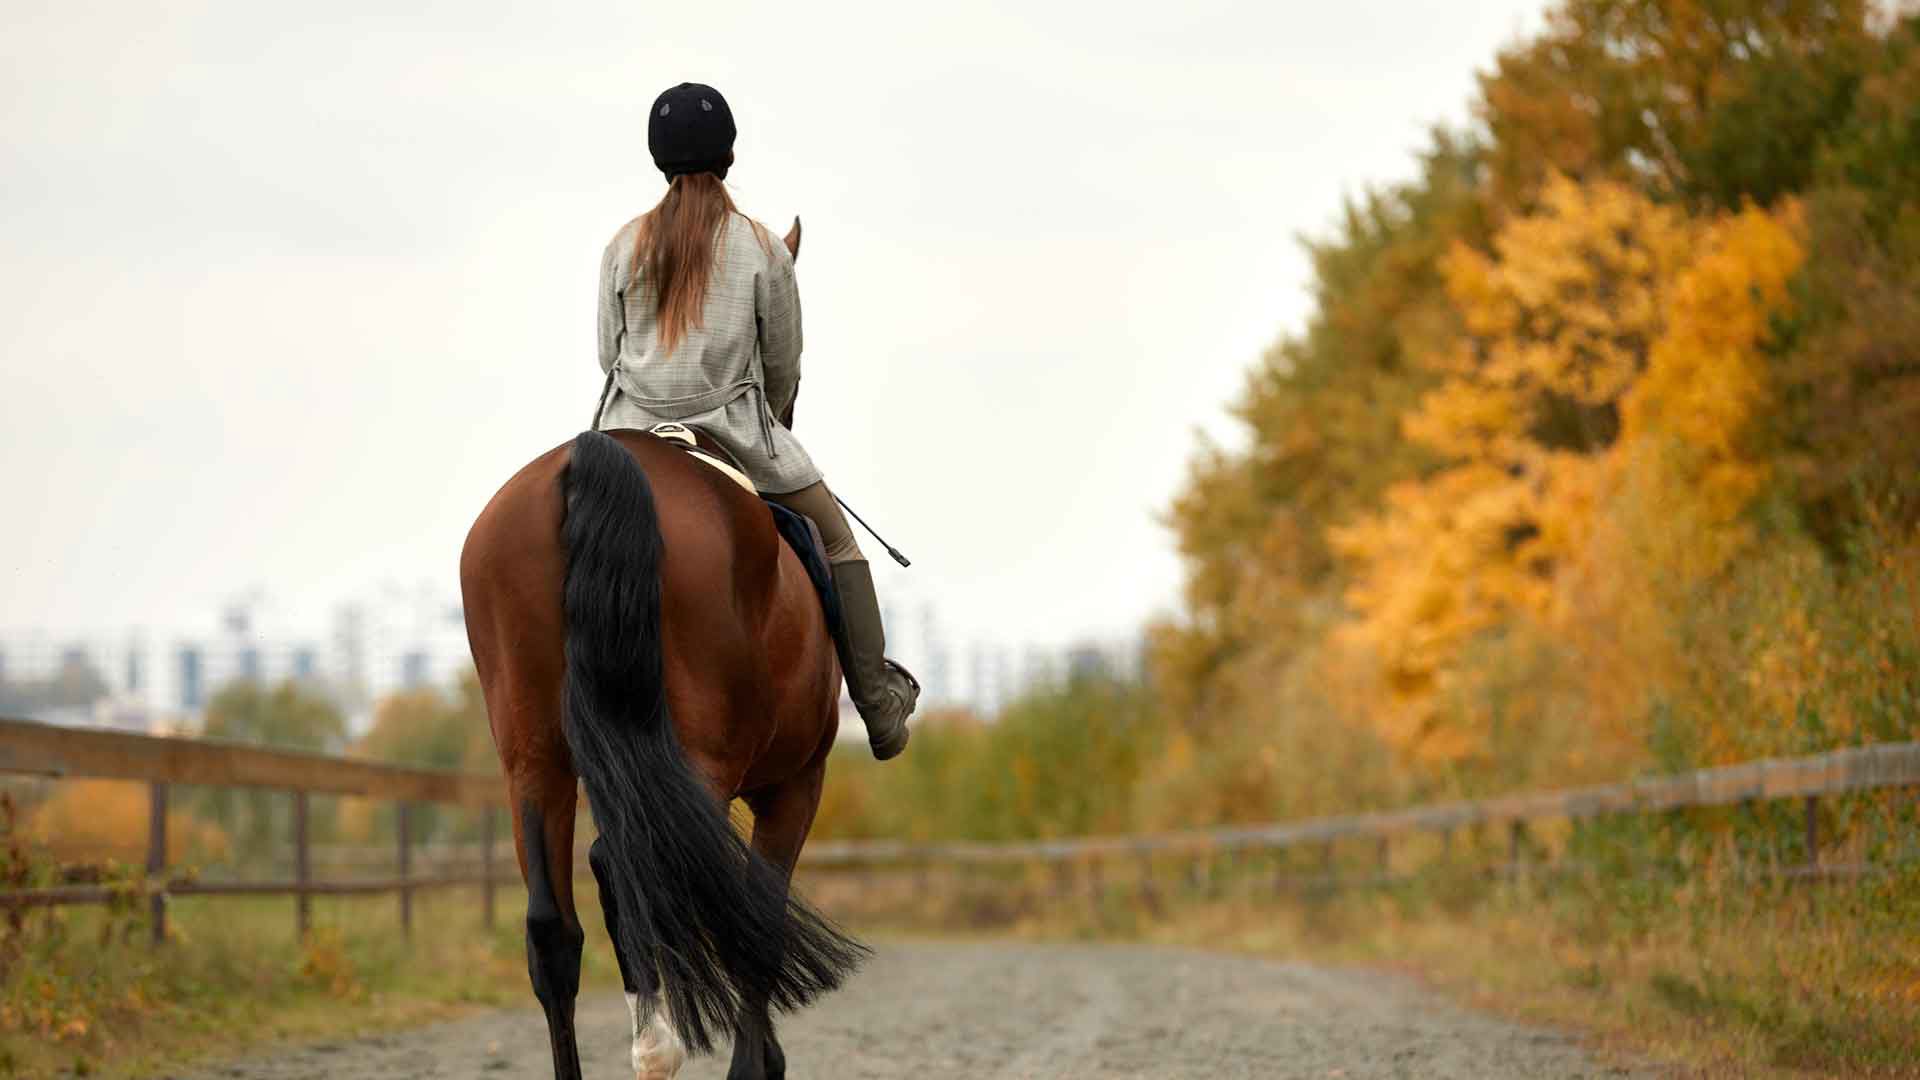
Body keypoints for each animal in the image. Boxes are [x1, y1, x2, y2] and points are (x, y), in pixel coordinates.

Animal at [459, 221, 864, 1080]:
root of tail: (593, 462)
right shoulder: (795, 785)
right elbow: (756, 924)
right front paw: (758, 1061)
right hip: (698, 760)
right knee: (632, 871)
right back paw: (660, 1044)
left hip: (533, 757)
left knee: (553, 929)